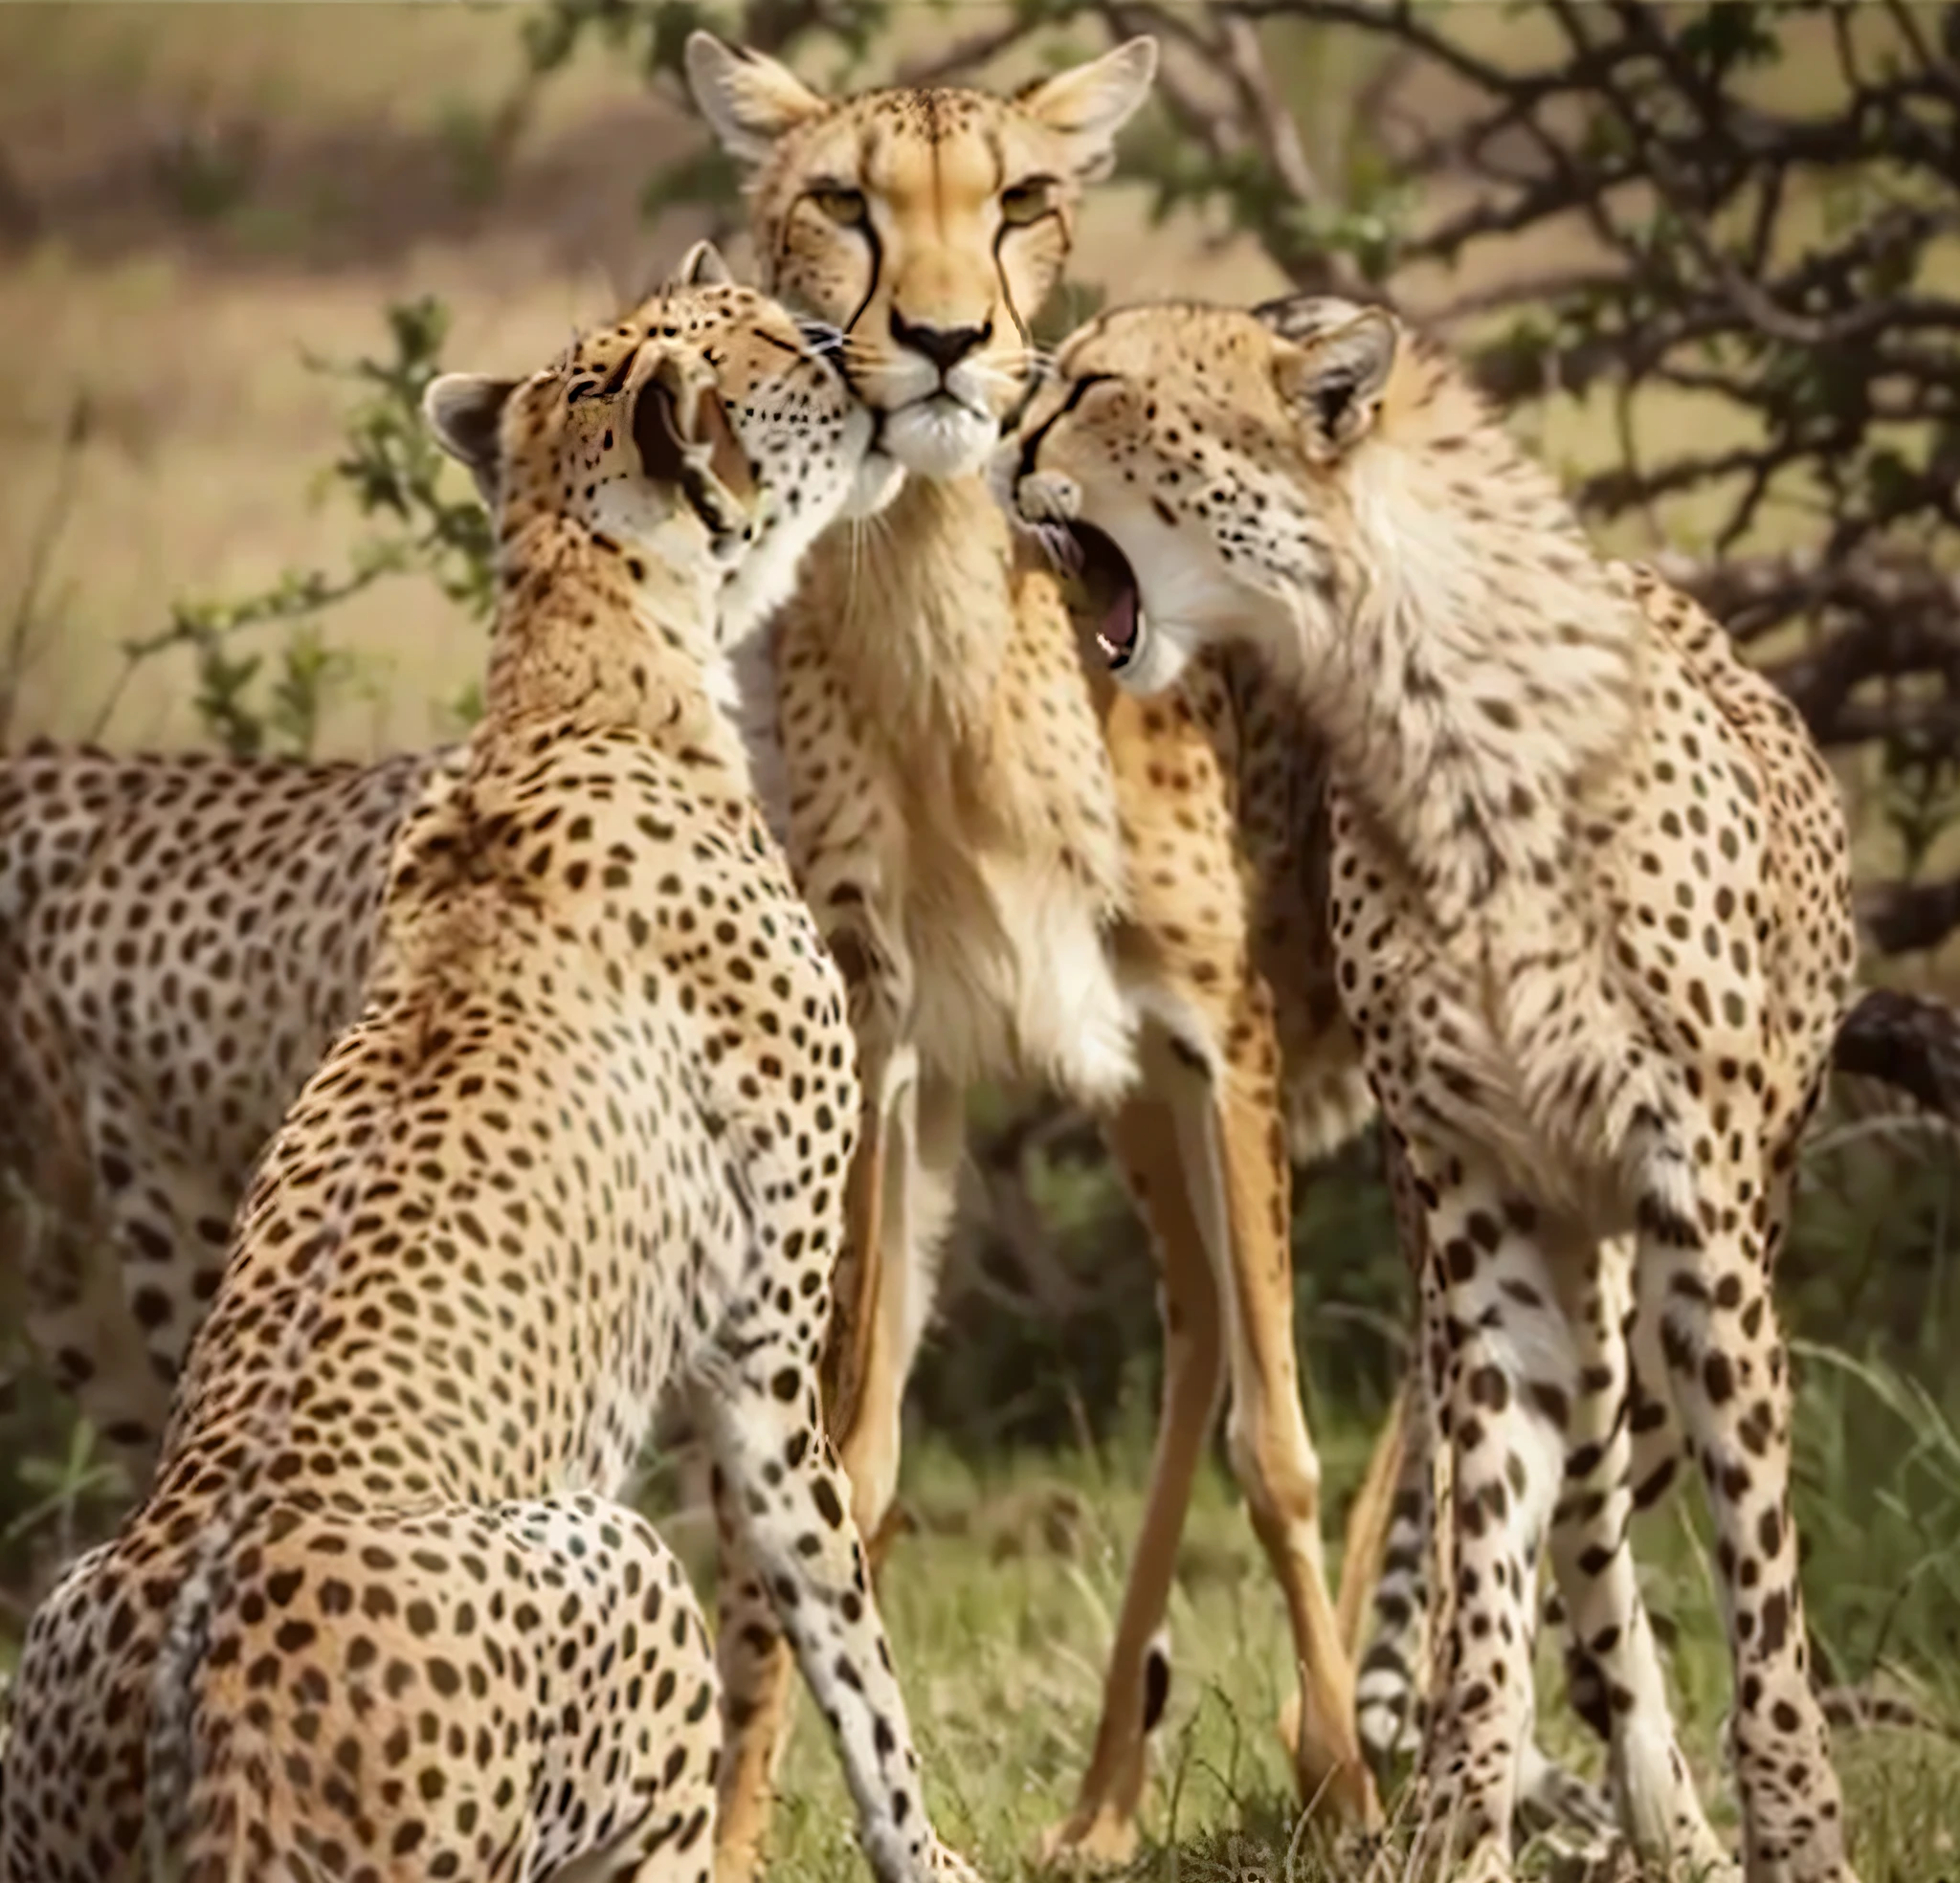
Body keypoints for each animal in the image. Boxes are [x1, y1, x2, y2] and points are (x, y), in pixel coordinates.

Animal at [0, 260, 980, 1880]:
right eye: (785, 343)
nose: (869, 348)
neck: (583, 670)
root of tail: (196, 1691)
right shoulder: (764, 1350)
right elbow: (847, 1638)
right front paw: (932, 1853)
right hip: (622, 1573)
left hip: (66, 1614)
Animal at [1011, 294, 1865, 1880]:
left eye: (1094, 385)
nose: (1000, 439)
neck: (1430, 732)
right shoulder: (1483, 1221)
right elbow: (1490, 1574)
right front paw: (1460, 1821)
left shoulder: (1701, 1232)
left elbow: (1763, 1595)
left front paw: (1798, 1833)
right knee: (1581, 1542)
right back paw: (1637, 1812)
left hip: (1701, 1258)